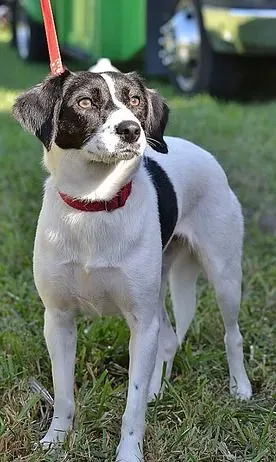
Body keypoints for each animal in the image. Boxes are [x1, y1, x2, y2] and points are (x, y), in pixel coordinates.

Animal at [12, 68, 252, 462]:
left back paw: (240, 388)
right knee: (168, 337)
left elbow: (132, 406)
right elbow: (63, 394)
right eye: (85, 102)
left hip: (224, 275)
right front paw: (55, 440)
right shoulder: (58, 319)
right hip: (158, 289)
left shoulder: (141, 321)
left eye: (135, 100)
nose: (131, 129)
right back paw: (158, 389)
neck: (94, 204)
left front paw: (128, 453)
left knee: (232, 335)